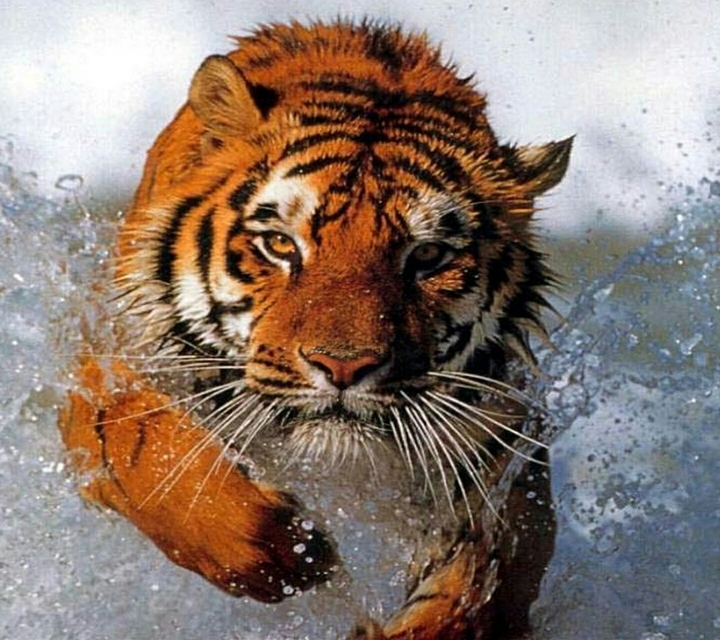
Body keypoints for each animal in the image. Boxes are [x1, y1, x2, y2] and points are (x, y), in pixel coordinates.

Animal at [59, 19, 571, 638]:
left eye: (426, 256)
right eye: (281, 244)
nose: (344, 366)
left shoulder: (501, 460)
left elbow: (478, 586)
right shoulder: (110, 364)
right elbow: (149, 453)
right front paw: (290, 553)